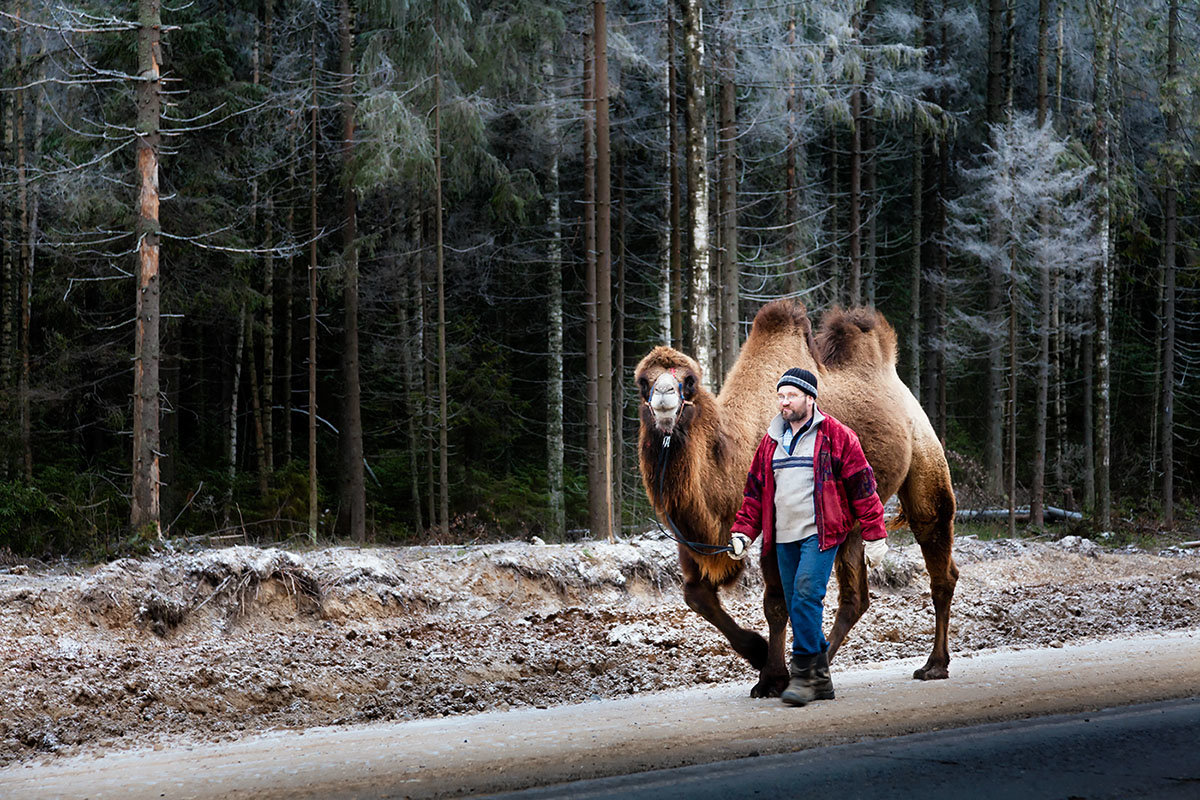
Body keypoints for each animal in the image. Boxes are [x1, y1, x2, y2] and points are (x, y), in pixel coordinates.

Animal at [633, 297, 960, 695]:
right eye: (643, 381)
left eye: (689, 380)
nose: (664, 396)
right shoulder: (697, 534)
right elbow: (696, 595)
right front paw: (759, 653)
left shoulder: (771, 524)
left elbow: (775, 603)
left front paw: (770, 677)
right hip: (849, 517)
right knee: (855, 596)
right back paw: (820, 663)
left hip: (925, 453)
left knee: (937, 549)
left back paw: (934, 665)